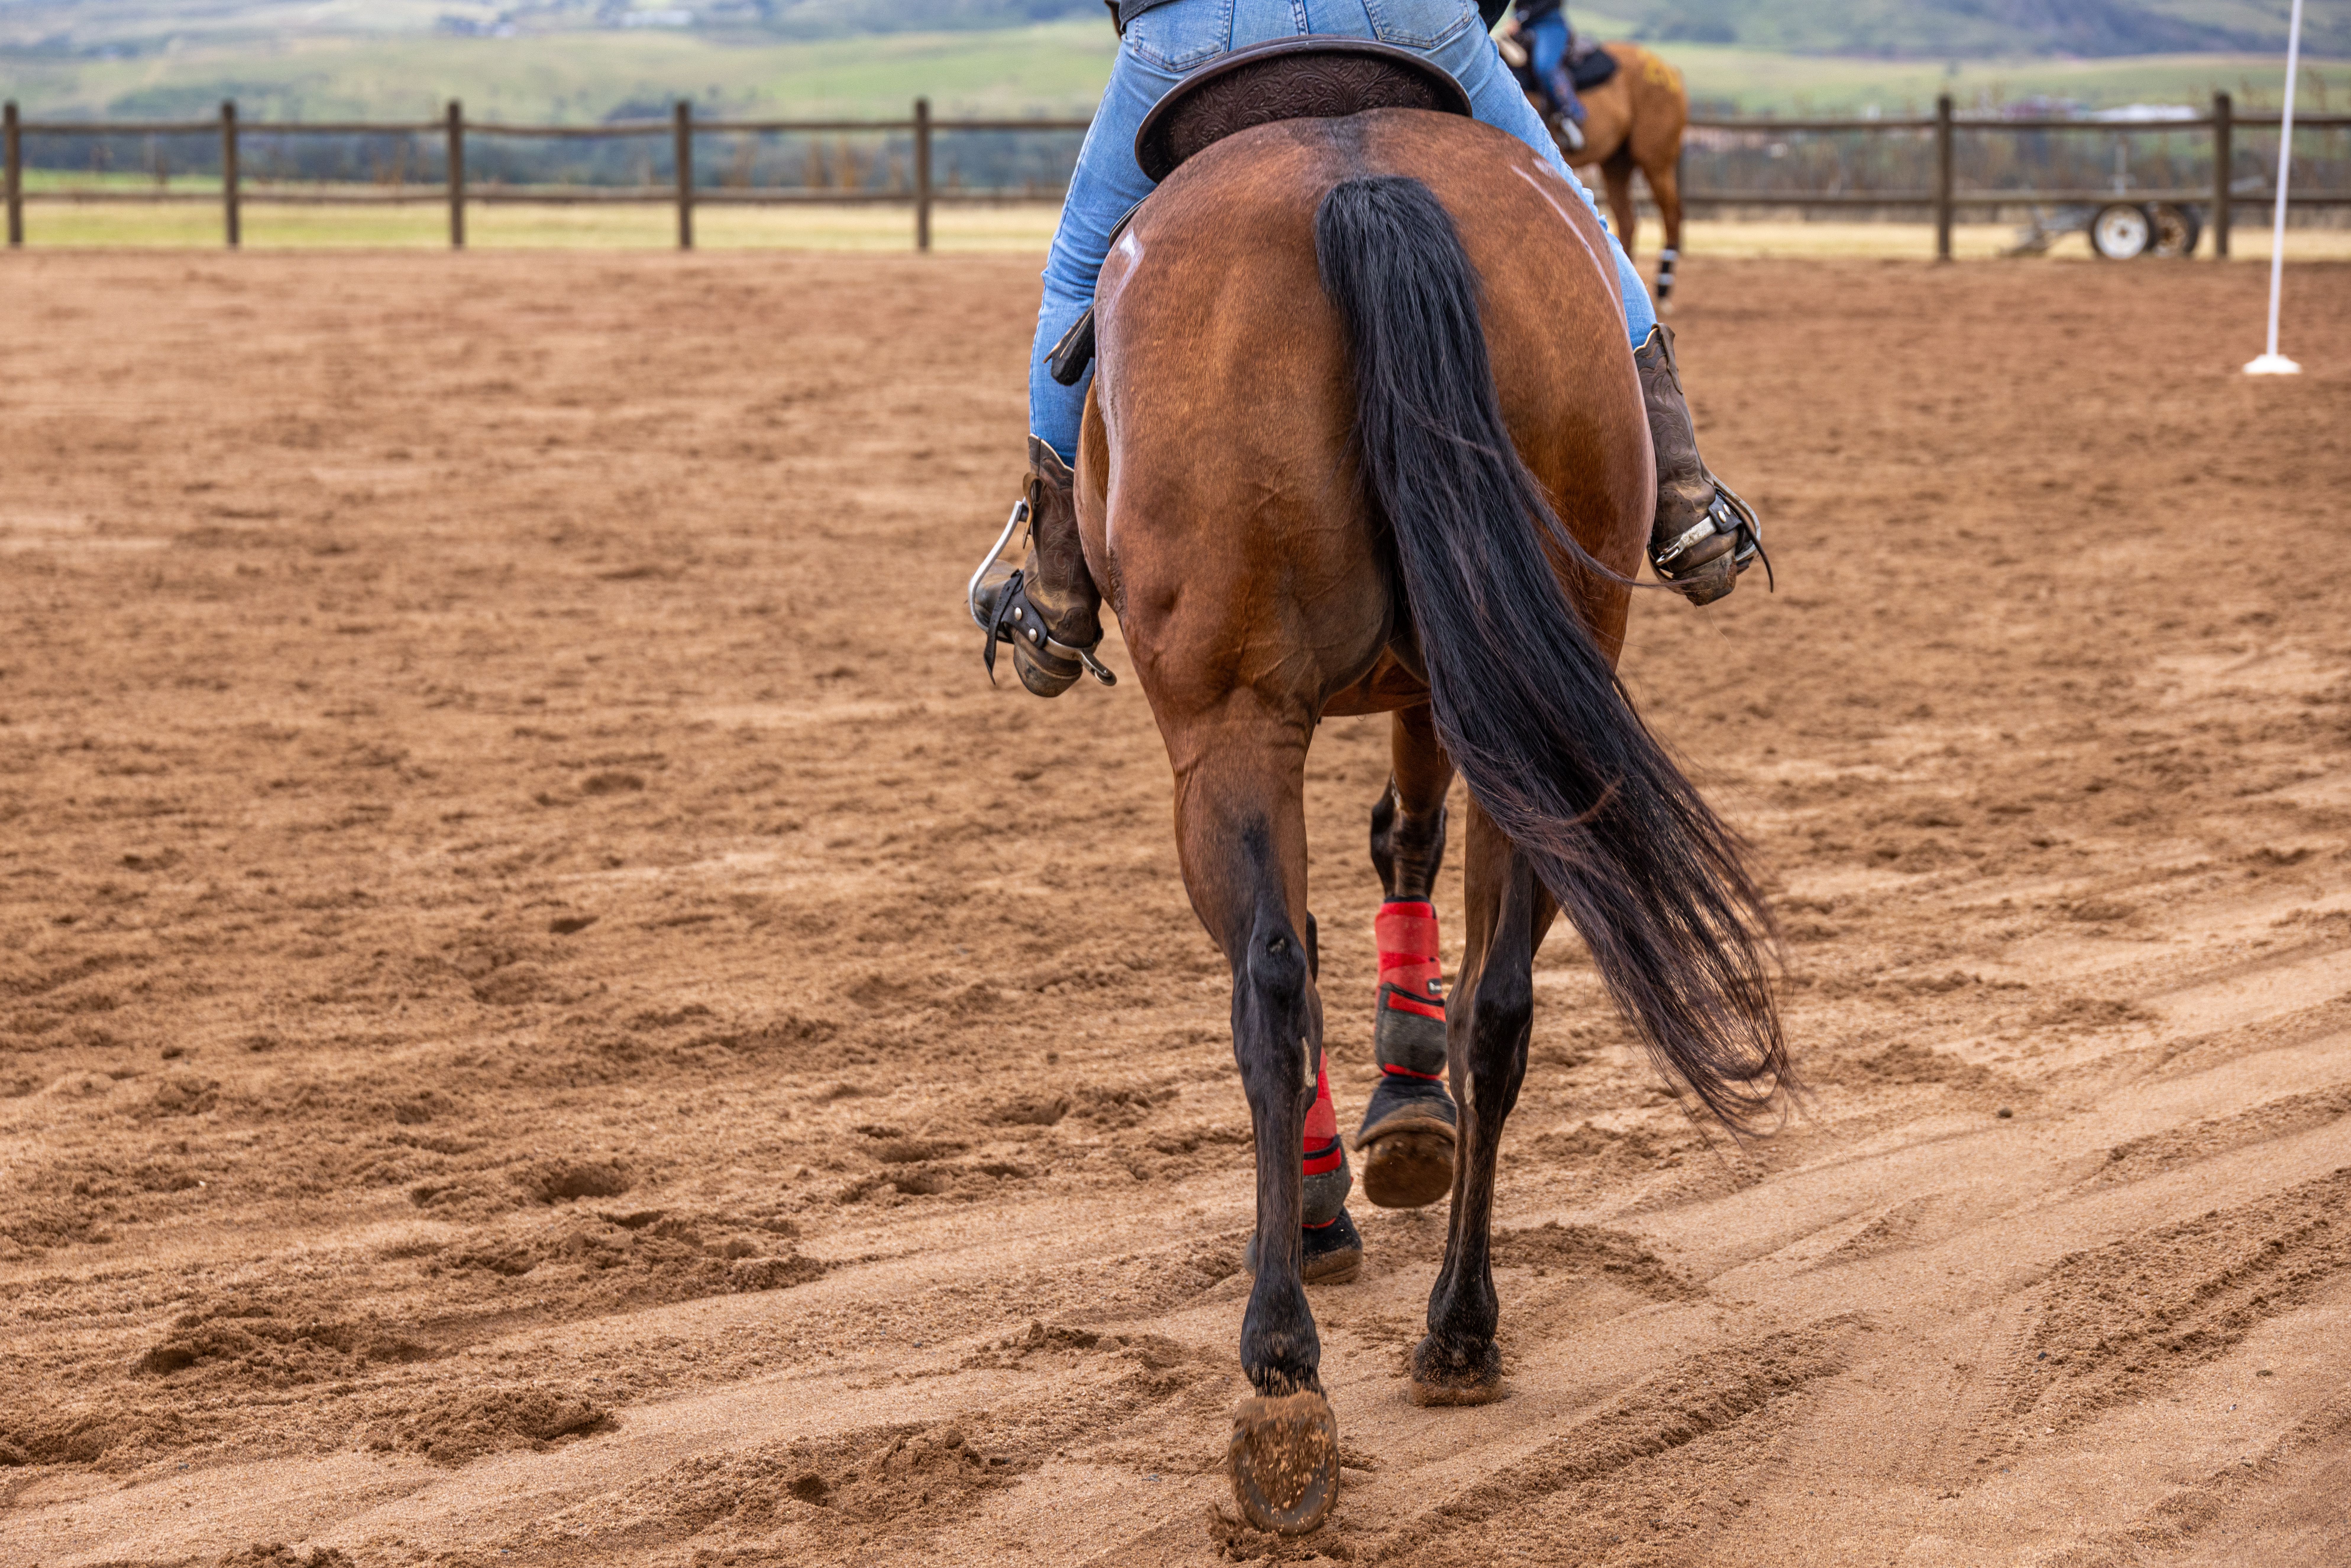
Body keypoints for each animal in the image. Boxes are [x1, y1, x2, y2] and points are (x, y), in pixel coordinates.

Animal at [1071, 49, 1788, 1537]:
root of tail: (1360, 180)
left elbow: (1318, 920)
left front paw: (1352, 1172)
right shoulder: (1438, 677)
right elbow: (1407, 836)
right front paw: (1410, 1116)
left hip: (1226, 721)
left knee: (1269, 983)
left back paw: (1282, 1357)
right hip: (1525, 689)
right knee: (1498, 1002)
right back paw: (1460, 1324)